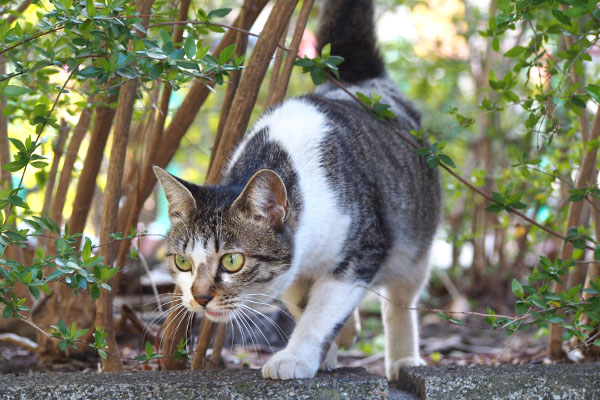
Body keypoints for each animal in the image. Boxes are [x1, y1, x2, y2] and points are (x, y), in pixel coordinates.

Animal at [152, 0, 438, 382]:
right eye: (182, 262)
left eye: (232, 260)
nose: (199, 297)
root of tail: (358, 81)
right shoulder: (294, 272)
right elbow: (303, 303)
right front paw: (326, 351)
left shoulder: (364, 248)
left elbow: (321, 312)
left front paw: (296, 356)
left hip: (414, 239)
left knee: (402, 298)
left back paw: (404, 360)